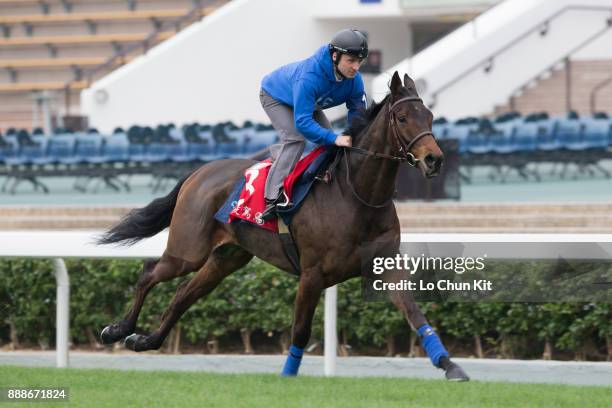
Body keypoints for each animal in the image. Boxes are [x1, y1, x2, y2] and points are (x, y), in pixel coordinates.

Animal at [98, 71, 468, 380]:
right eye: (403, 118)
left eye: (430, 117)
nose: (434, 159)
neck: (357, 195)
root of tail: (199, 171)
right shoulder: (312, 273)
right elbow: (300, 330)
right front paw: (288, 375)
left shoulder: (385, 266)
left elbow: (416, 314)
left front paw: (450, 365)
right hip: (188, 250)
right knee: (149, 273)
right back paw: (117, 330)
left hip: (225, 258)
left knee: (182, 295)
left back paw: (145, 340)